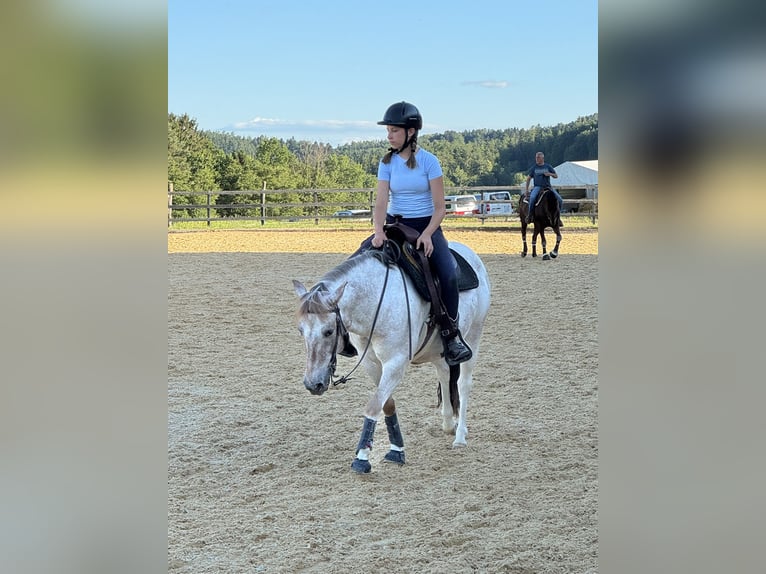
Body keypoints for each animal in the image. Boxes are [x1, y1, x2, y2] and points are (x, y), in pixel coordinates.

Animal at [292, 241, 491, 474]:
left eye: (328, 331)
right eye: (300, 330)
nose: (312, 384)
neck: (376, 303)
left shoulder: (395, 364)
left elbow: (373, 406)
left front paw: (362, 457)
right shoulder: (371, 364)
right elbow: (386, 404)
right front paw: (396, 449)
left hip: (474, 336)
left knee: (463, 384)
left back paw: (459, 436)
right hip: (438, 351)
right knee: (444, 375)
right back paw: (448, 423)